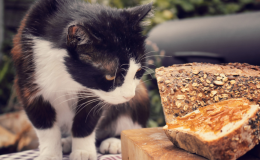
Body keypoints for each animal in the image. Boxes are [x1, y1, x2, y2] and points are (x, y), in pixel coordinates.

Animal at [11, 0, 151, 159]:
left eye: (138, 71)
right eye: (110, 76)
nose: (128, 96)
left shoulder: (94, 93)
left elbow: (86, 120)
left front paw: (83, 151)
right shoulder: (27, 81)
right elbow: (45, 126)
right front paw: (51, 153)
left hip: (140, 94)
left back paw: (113, 141)